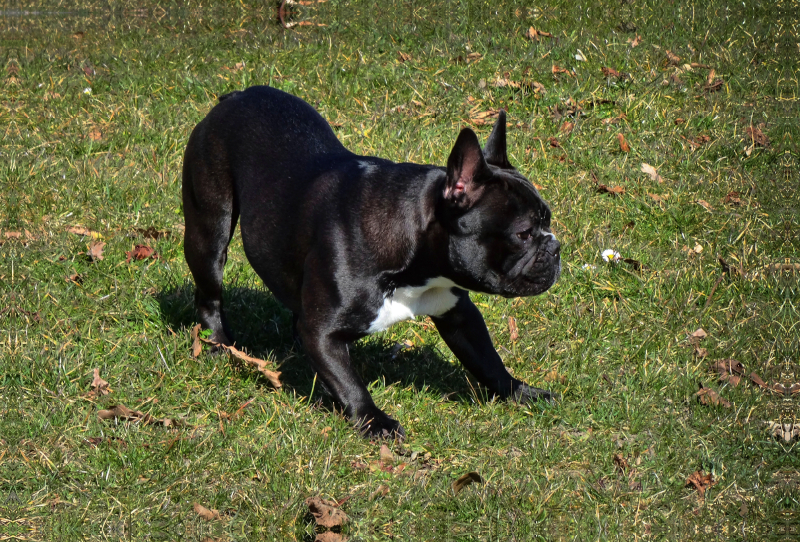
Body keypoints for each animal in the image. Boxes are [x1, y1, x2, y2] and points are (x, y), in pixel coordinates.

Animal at [184, 87, 564, 440]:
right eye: (524, 234)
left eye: (547, 220)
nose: (556, 246)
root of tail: (236, 96)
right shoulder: (322, 332)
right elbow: (349, 381)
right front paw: (374, 420)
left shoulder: (458, 313)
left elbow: (487, 359)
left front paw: (520, 391)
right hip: (209, 231)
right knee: (209, 294)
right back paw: (219, 343)